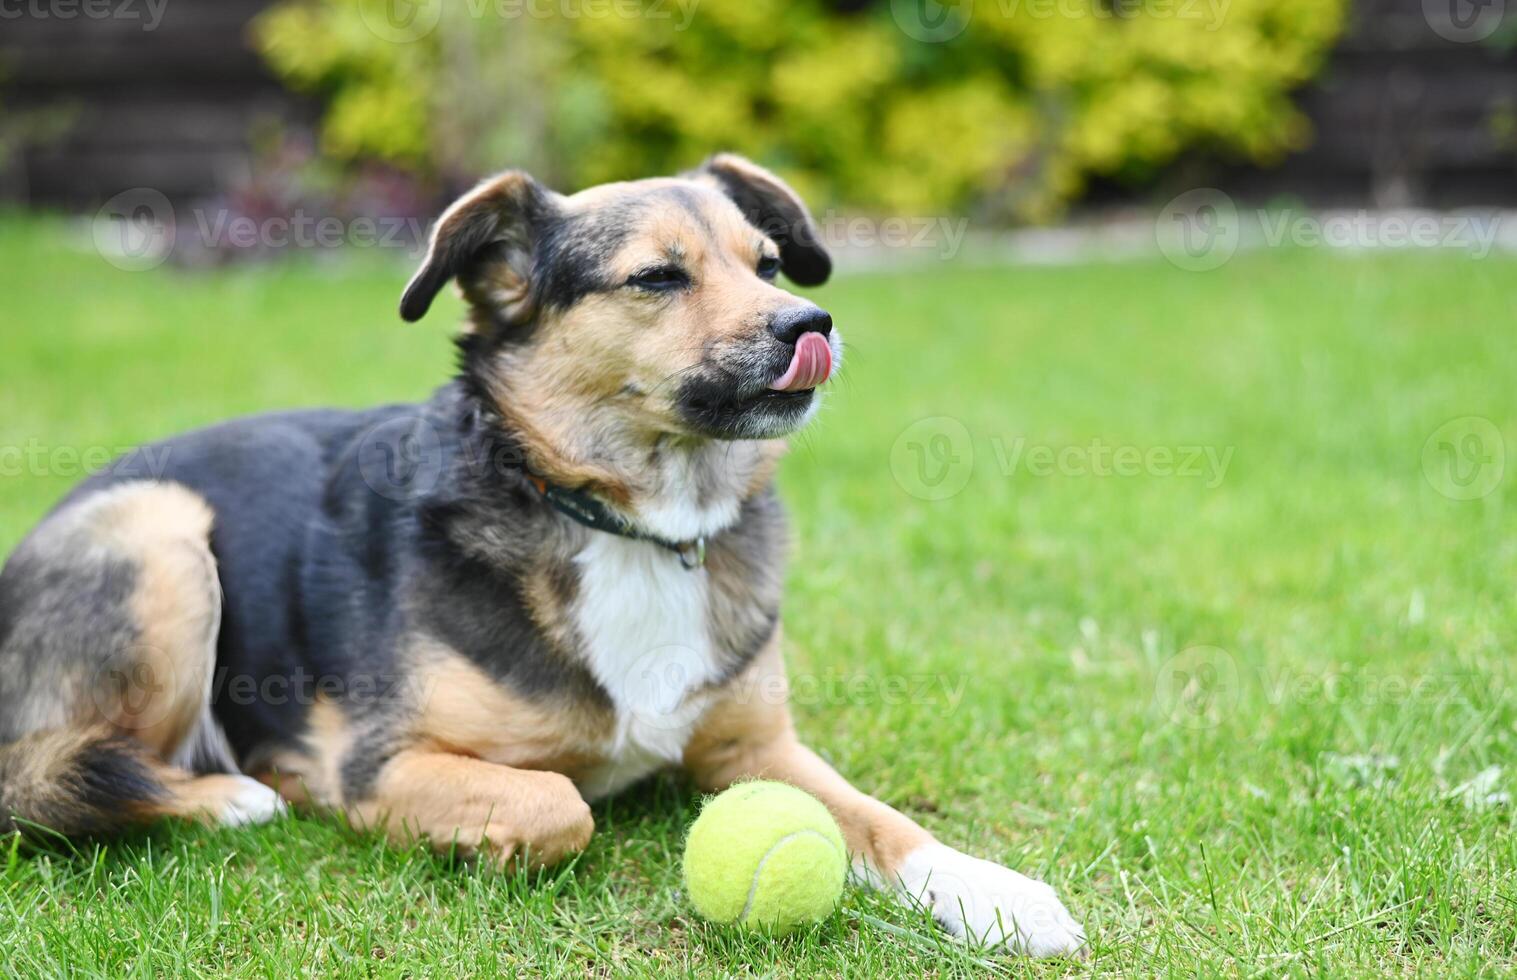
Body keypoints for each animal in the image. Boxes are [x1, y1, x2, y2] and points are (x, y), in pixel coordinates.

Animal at [2, 155, 1092, 958]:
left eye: (768, 265)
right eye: (657, 277)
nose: (810, 326)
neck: (632, 527)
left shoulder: (758, 749)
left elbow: (877, 817)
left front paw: (996, 895)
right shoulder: (387, 757)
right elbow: (559, 804)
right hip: (161, 531)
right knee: (44, 776)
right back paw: (235, 794)